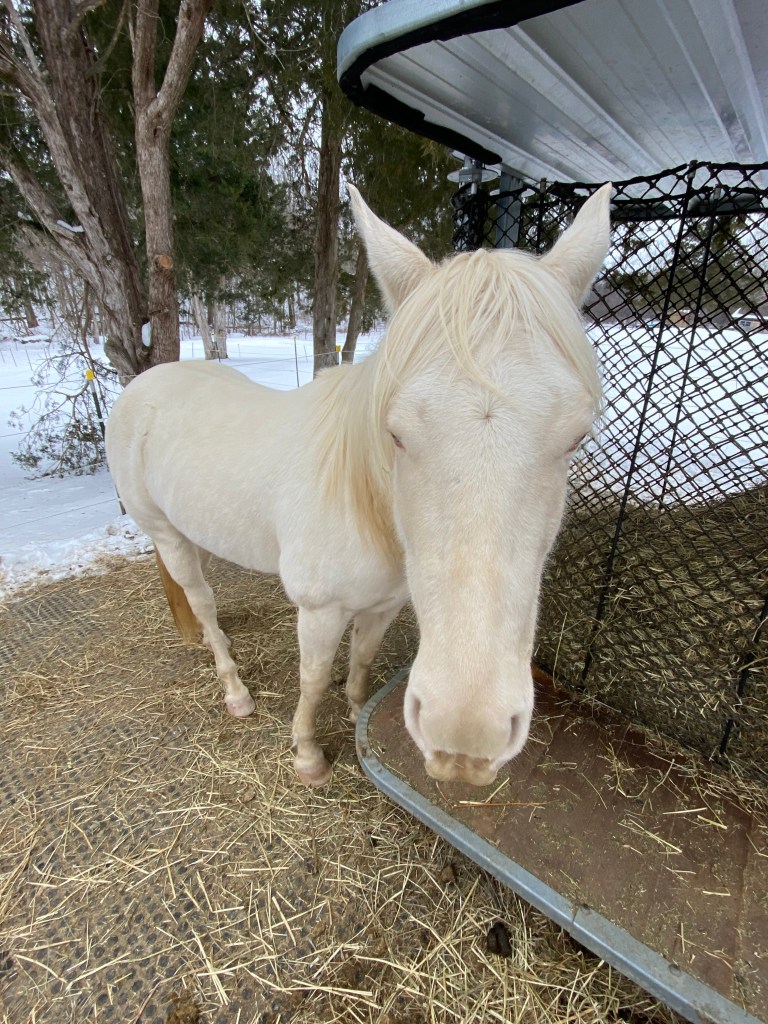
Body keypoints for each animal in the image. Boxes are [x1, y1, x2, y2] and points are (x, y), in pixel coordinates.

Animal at [105, 182, 611, 788]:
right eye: (395, 433)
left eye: (576, 437)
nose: (465, 734)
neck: (365, 503)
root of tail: (144, 383)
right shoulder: (320, 609)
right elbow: (314, 678)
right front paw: (308, 755)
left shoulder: (384, 604)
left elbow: (362, 660)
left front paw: (354, 713)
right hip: (164, 531)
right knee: (200, 599)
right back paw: (234, 690)